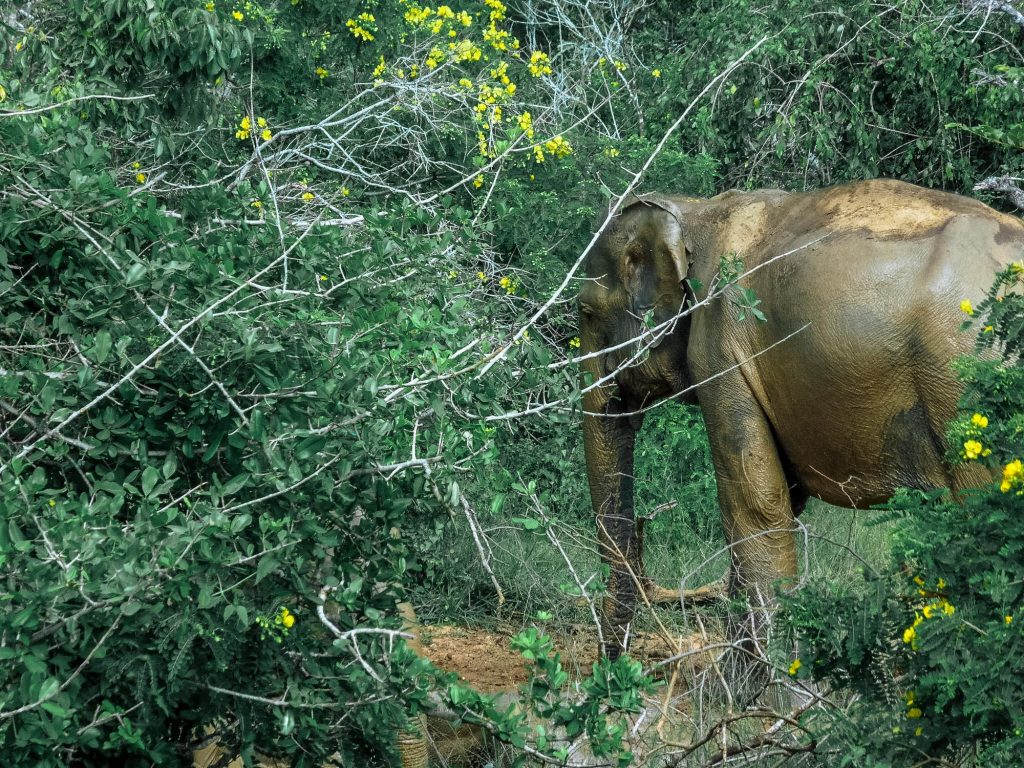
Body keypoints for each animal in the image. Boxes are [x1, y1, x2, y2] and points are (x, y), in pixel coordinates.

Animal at [579, 178, 1024, 658]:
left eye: (585, 313)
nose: (611, 668)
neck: (697, 211)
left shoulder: (721, 348)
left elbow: (754, 506)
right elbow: (782, 499)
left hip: (967, 387)